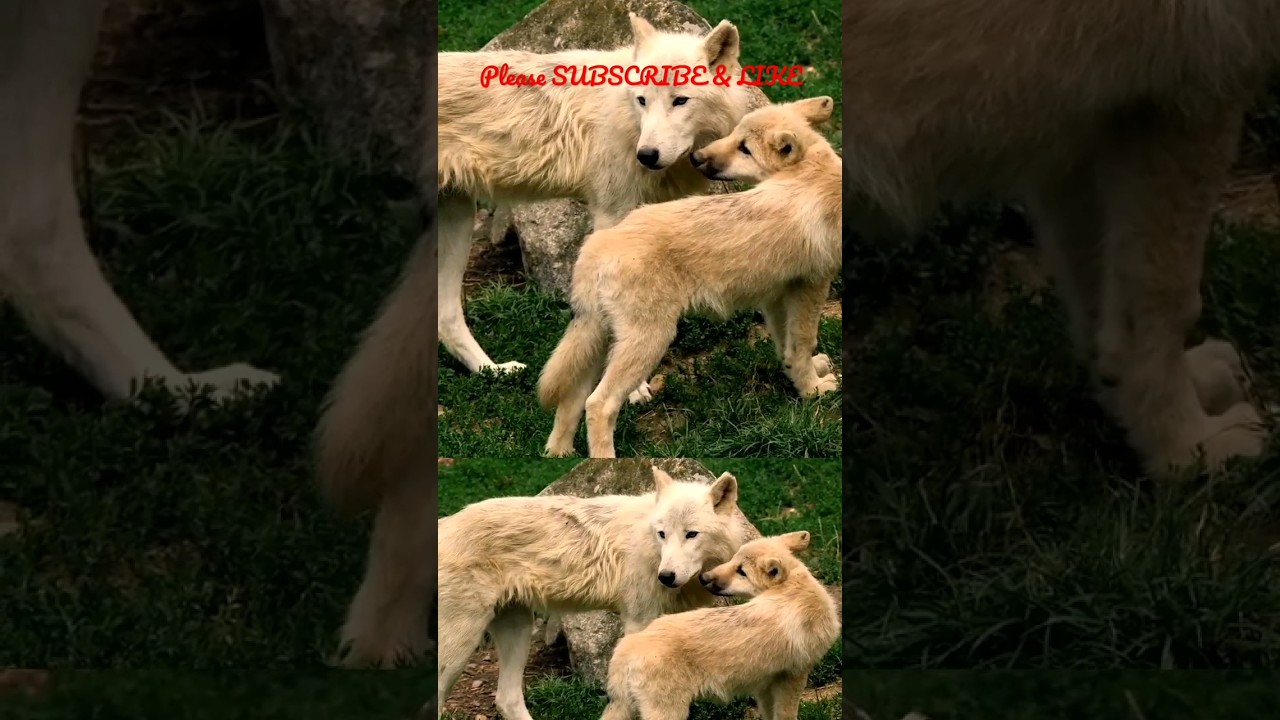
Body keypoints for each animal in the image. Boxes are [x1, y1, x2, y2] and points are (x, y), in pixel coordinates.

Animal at [437, 12, 755, 402]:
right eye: (642, 100)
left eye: (680, 100)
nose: (646, 155)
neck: (628, 120)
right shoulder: (611, 217)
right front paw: (632, 389)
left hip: (458, 218)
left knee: (446, 318)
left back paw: (493, 371)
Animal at [437, 466, 755, 720]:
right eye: (662, 534)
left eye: (691, 534)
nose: (665, 577)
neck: (650, 547)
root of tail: (443, 524)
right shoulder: (638, 623)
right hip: (461, 646)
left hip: (517, 628)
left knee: (506, 699)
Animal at [538, 97, 843, 458]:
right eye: (738, 140)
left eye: (743, 147)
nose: (697, 158)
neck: (812, 172)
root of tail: (599, 244)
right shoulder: (813, 286)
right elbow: (802, 344)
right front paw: (814, 391)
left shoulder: (777, 296)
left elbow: (789, 349)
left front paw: (804, 375)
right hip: (649, 340)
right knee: (599, 404)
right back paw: (605, 463)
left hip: (596, 340)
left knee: (571, 401)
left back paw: (559, 456)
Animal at [600, 531, 839, 720]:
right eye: (734, 561)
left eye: (741, 571)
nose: (704, 578)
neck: (795, 588)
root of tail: (628, 646)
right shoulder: (793, 677)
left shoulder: (767, 684)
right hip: (667, 711)